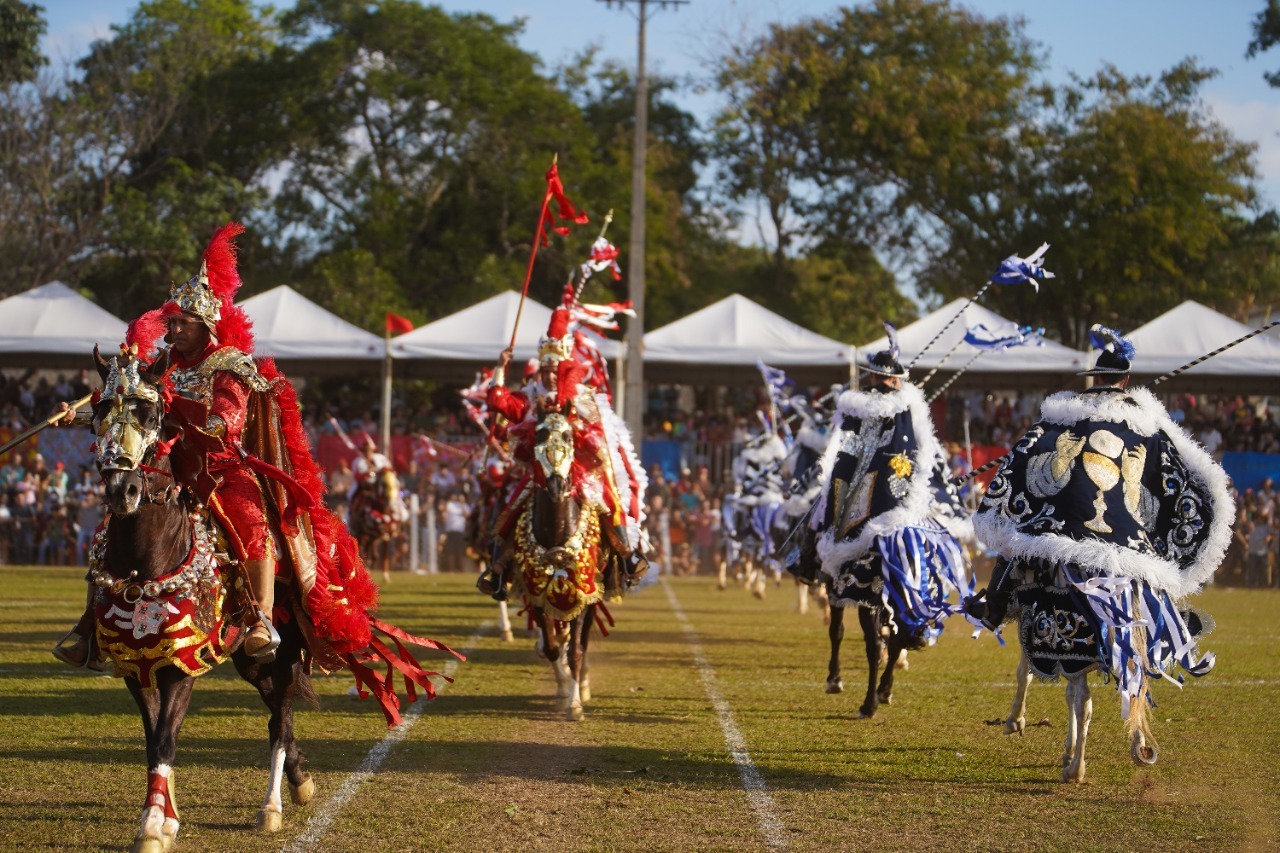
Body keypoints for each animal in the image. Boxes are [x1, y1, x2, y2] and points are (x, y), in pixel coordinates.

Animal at [87, 348, 314, 850]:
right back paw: (300, 779)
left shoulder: (181, 663)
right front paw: (166, 818)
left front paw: (153, 825)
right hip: (249, 661)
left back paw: (272, 806)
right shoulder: (135, 666)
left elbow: (166, 739)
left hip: (281, 652)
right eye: (100, 413)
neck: (145, 566)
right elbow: (153, 738)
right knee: (275, 711)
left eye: (152, 415)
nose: (122, 490)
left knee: (281, 718)